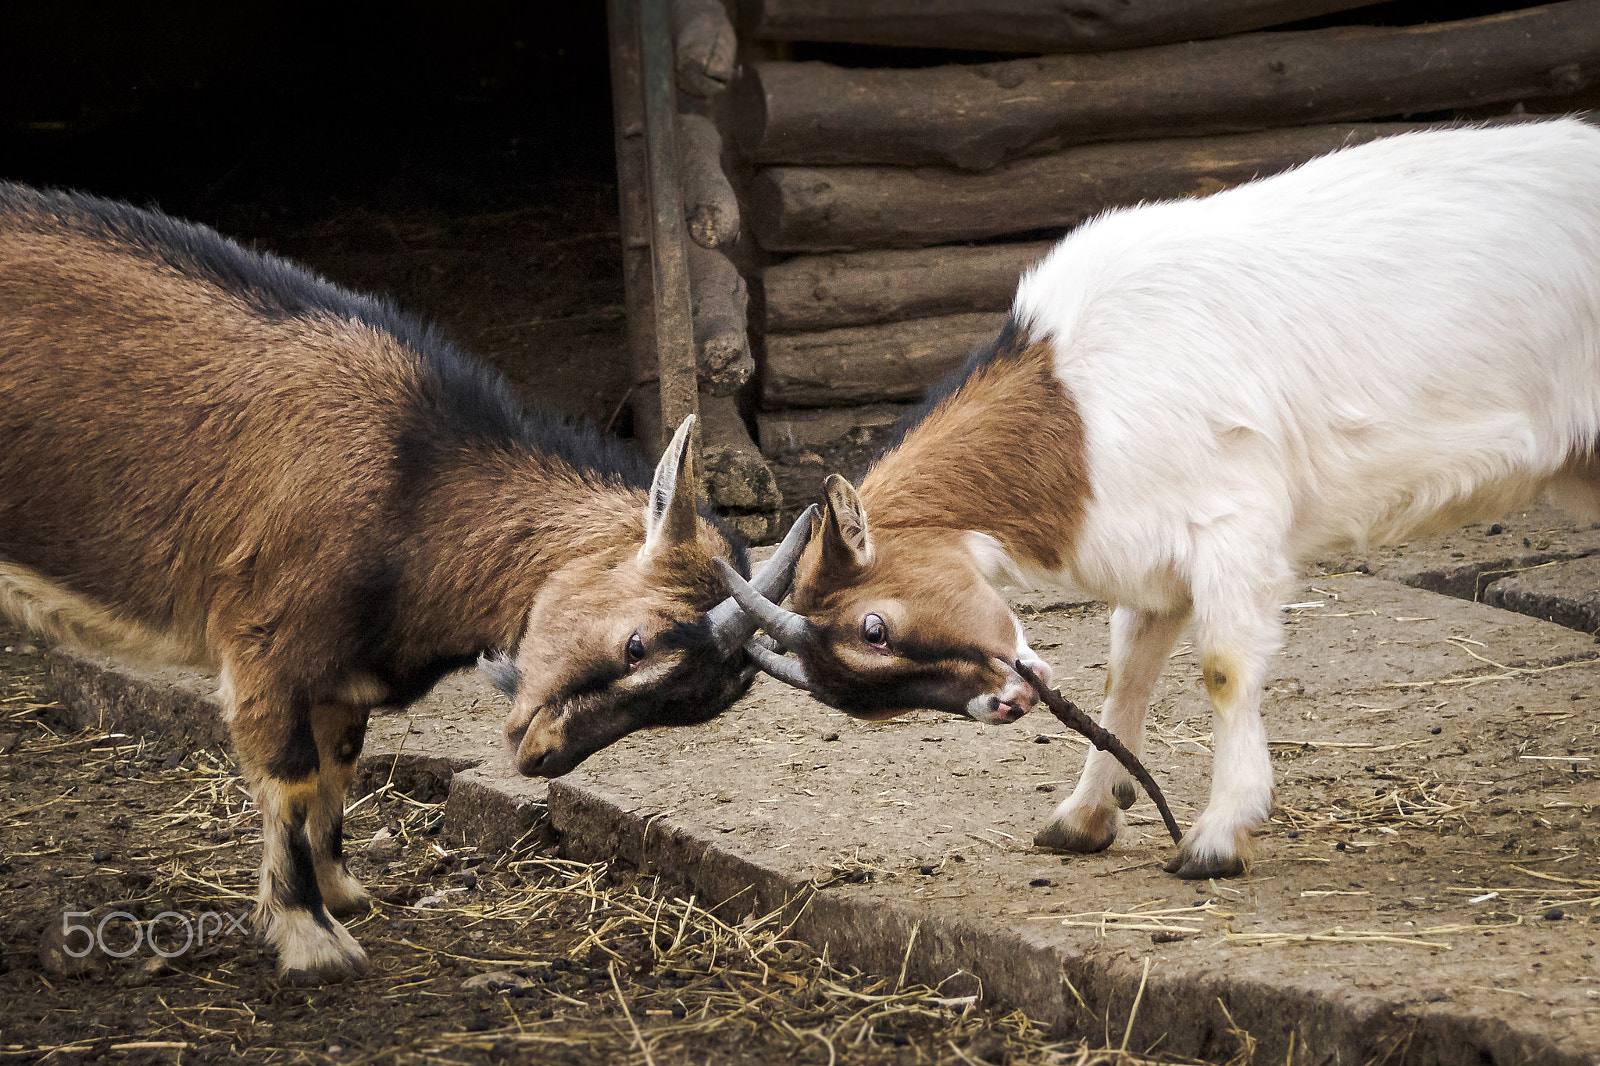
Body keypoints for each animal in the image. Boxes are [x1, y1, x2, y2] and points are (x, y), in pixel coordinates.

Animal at [0, 182, 805, 980]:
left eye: (690, 707)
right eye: (637, 645)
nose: (540, 757)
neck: (414, 482)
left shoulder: (337, 674)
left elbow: (340, 767)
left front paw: (340, 893)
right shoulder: (268, 645)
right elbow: (292, 777)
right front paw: (311, 938)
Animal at [723, 118, 1600, 879]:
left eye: (874, 627)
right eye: (862, 705)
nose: (1004, 705)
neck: (1074, 410)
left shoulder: (1234, 519)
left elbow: (1223, 667)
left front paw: (1218, 837)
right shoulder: (1151, 554)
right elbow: (1126, 672)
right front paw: (1082, 817)